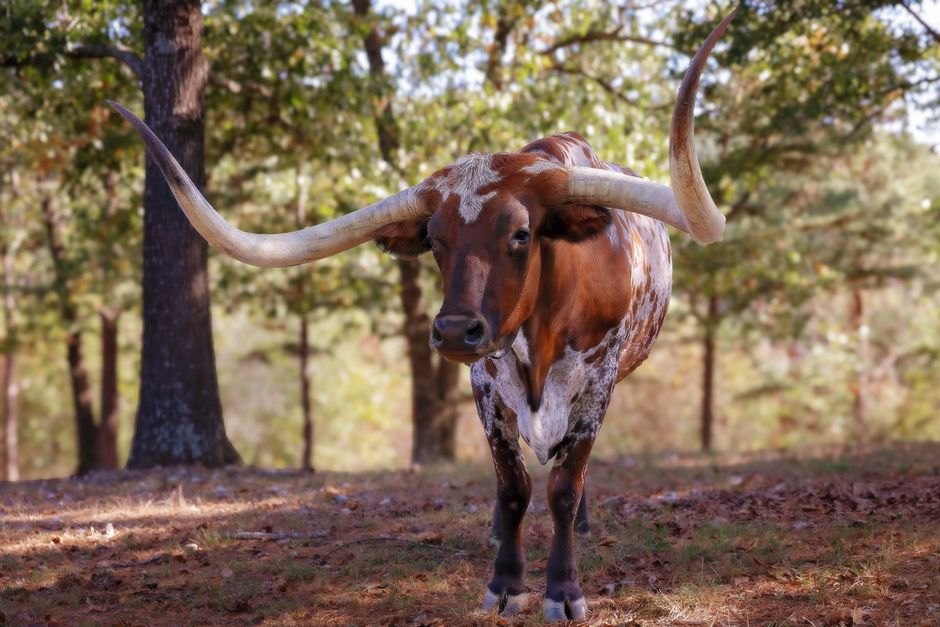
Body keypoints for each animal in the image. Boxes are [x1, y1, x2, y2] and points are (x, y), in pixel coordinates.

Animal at [109, 11, 734, 622]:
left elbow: (563, 485)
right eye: (434, 238)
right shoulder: (486, 383)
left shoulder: (597, 384)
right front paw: (505, 585)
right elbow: (513, 486)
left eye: (521, 233)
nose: (455, 330)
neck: (541, 338)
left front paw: (563, 591)